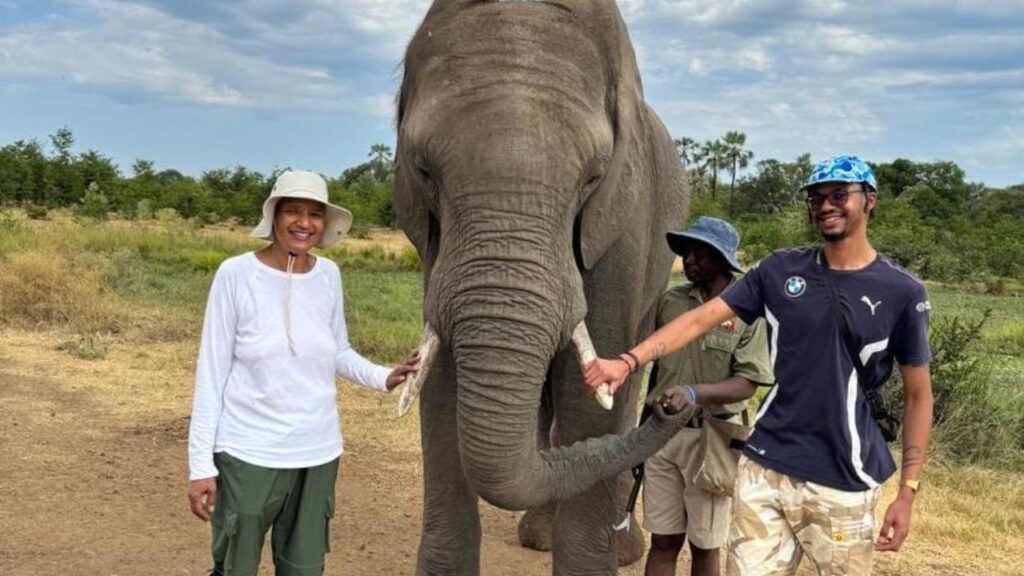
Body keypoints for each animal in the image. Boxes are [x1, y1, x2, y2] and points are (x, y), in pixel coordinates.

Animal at [393, 1, 690, 574]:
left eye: (594, 176)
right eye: (423, 169)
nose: (677, 406)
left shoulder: (623, 216)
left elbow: (588, 390)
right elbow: (439, 384)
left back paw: (619, 548)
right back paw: (538, 536)